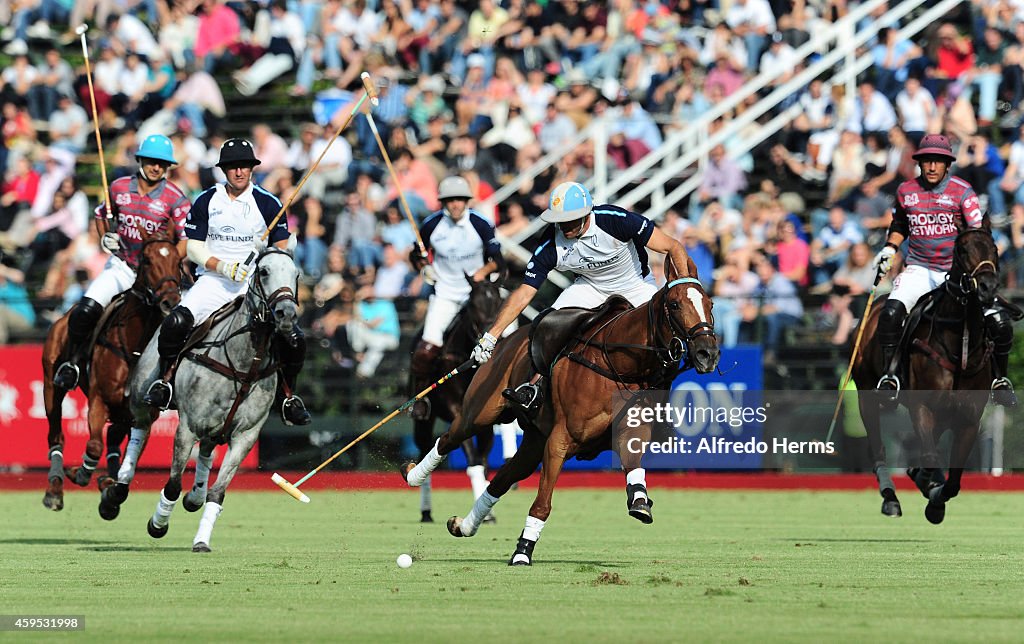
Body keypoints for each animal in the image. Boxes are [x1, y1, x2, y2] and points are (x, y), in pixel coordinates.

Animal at [41, 229, 183, 511]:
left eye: (177, 260)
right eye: (147, 260)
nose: (170, 301)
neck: (136, 347)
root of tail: (63, 315)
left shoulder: (146, 414)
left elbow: (128, 458)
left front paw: (109, 487)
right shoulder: (99, 399)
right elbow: (94, 446)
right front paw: (81, 473)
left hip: (122, 412)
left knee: (115, 438)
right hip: (51, 384)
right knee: (56, 435)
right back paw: (54, 490)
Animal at [124, 248, 299, 548]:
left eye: (296, 273)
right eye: (264, 271)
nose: (286, 314)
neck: (244, 363)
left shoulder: (246, 436)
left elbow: (217, 492)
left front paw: (202, 540)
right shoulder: (187, 427)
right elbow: (172, 484)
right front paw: (157, 525)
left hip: (216, 427)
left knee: (206, 450)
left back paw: (195, 495)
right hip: (141, 397)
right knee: (140, 429)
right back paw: (117, 489)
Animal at [413, 274, 505, 520]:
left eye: (500, 303)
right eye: (472, 305)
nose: (490, 342)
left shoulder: (485, 421)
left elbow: (483, 462)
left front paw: (488, 514)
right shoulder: (458, 412)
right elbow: (473, 460)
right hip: (424, 420)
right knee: (423, 447)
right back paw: (425, 511)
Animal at [847, 225, 999, 522]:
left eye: (995, 249)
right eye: (962, 249)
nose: (988, 288)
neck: (958, 339)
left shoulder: (969, 416)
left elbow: (953, 479)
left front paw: (934, 497)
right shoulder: (922, 406)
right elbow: (929, 456)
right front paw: (930, 494)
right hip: (866, 394)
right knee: (878, 446)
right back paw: (890, 497)